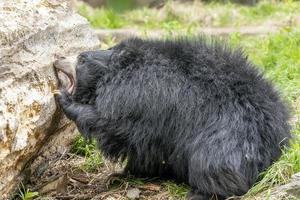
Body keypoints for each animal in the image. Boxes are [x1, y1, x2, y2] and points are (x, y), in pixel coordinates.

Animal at [54, 36, 290, 199]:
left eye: (80, 59)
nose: (57, 58)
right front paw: (122, 174)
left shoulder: (141, 97)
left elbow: (114, 125)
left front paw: (63, 98)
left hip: (226, 139)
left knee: (213, 165)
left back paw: (201, 192)